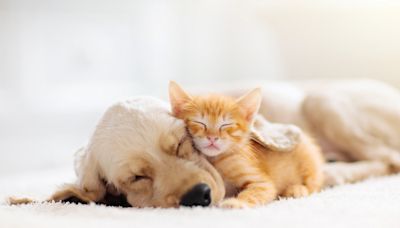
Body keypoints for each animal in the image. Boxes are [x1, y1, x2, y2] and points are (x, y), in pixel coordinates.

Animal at [167, 82, 324, 208]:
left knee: (315, 184)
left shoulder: (262, 183)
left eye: (226, 125)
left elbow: (255, 192)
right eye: (199, 122)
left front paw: (236, 202)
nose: (212, 137)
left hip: (307, 158)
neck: (215, 160)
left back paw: (297, 189)